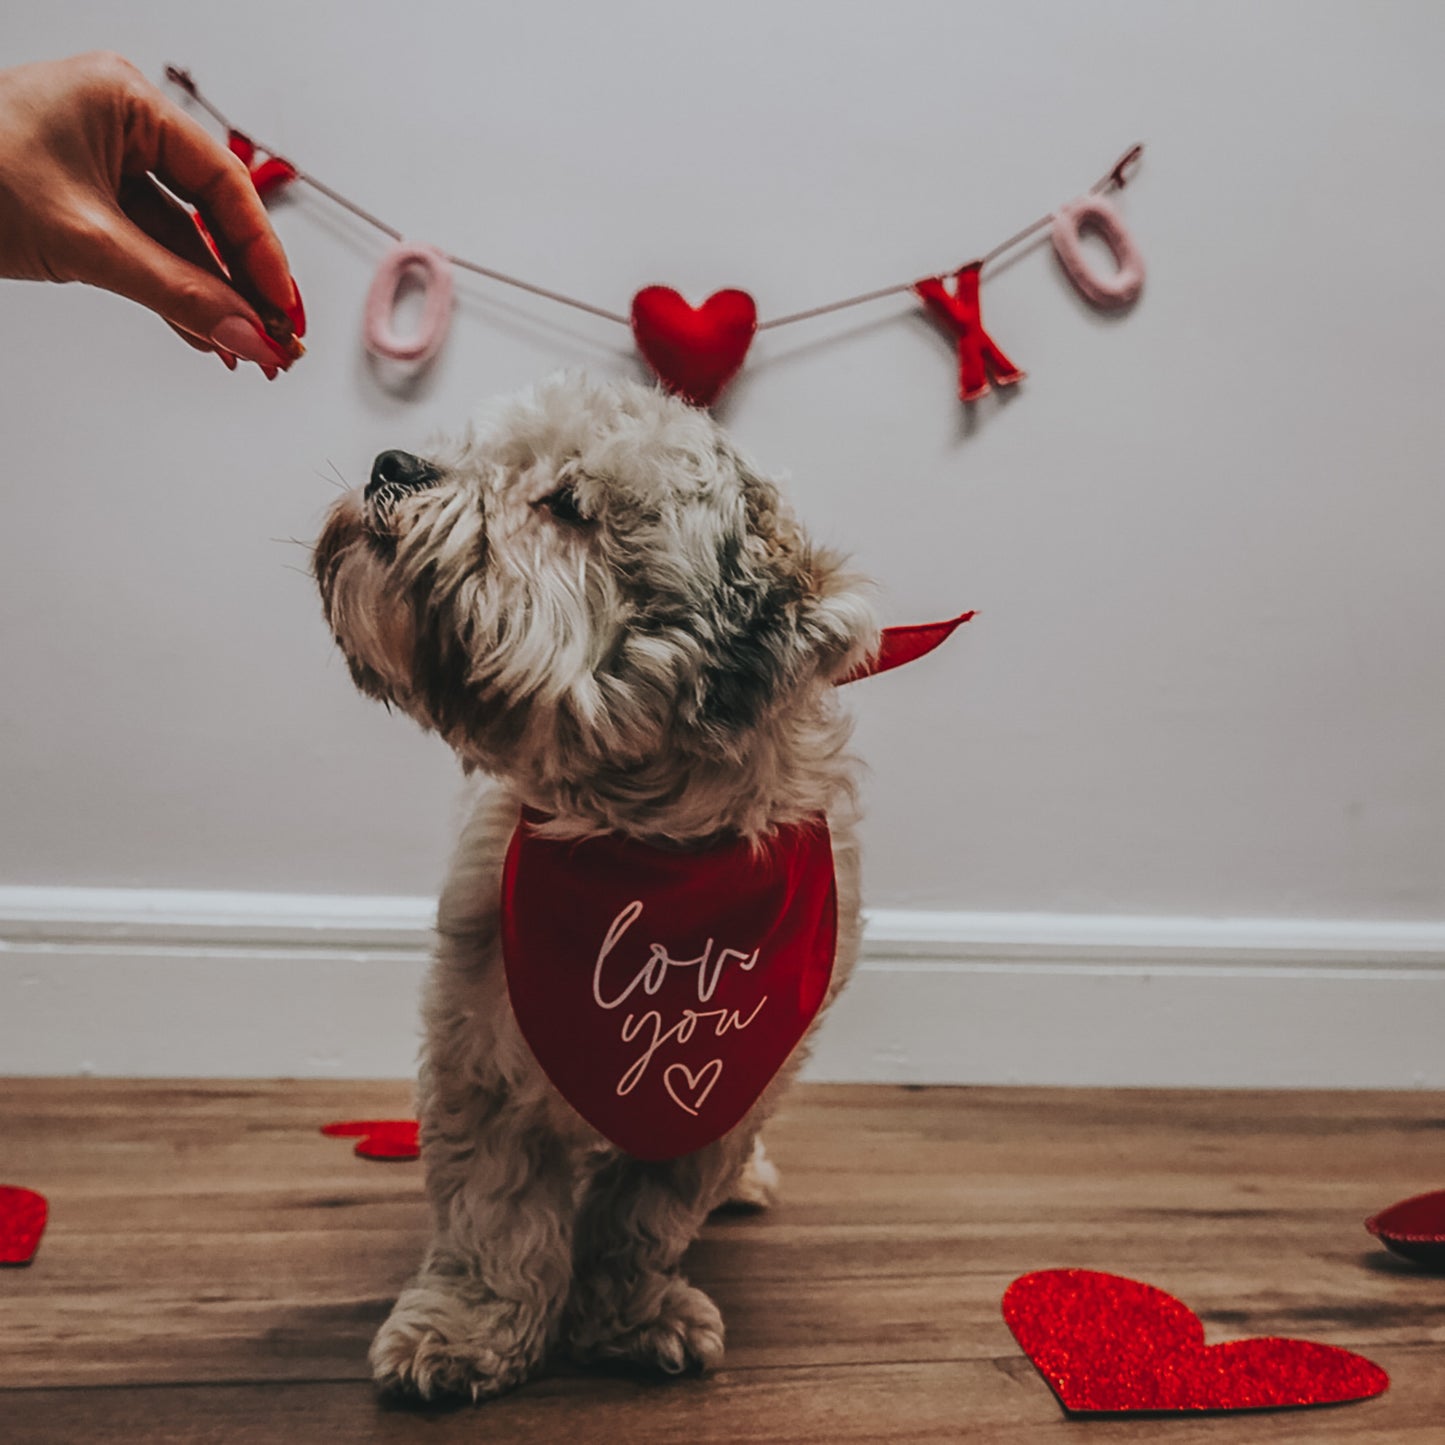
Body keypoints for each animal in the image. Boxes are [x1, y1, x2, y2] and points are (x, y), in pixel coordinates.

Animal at [313, 372, 878, 1398]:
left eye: (568, 506)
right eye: (478, 451)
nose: (394, 463)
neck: (643, 840)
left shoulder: (721, 1082)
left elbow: (643, 1214)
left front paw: (627, 1315)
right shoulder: (480, 1047)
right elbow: (494, 1213)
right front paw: (468, 1326)